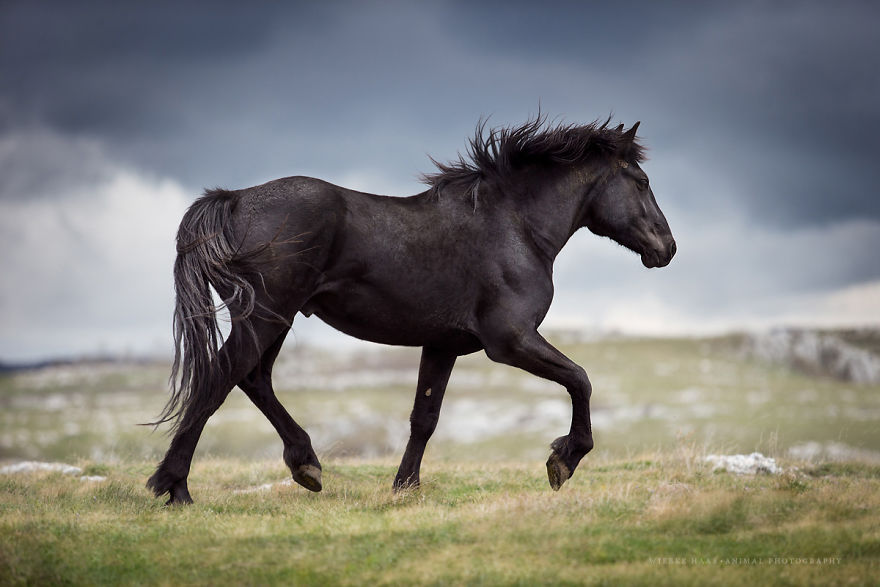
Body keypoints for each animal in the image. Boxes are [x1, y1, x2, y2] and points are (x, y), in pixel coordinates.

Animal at [147, 116, 676, 505]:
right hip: (265, 315)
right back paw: (174, 487)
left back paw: (305, 465)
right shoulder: (510, 341)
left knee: (252, 379)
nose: (667, 248)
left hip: (274, 319)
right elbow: (580, 379)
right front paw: (563, 461)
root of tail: (233, 201)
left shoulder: (441, 345)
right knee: (219, 378)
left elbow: (425, 417)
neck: (515, 228)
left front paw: (405, 486)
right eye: (642, 181)